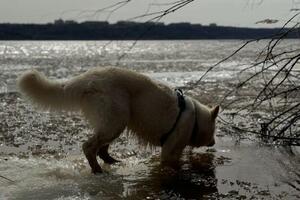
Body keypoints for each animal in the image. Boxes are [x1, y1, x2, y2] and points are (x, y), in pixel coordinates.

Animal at [17, 67, 218, 173]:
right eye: (214, 131)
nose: (214, 143)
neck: (195, 120)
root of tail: (86, 78)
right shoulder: (170, 149)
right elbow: (172, 163)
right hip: (116, 120)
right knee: (89, 147)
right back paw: (97, 170)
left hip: (116, 121)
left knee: (101, 148)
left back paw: (112, 162)